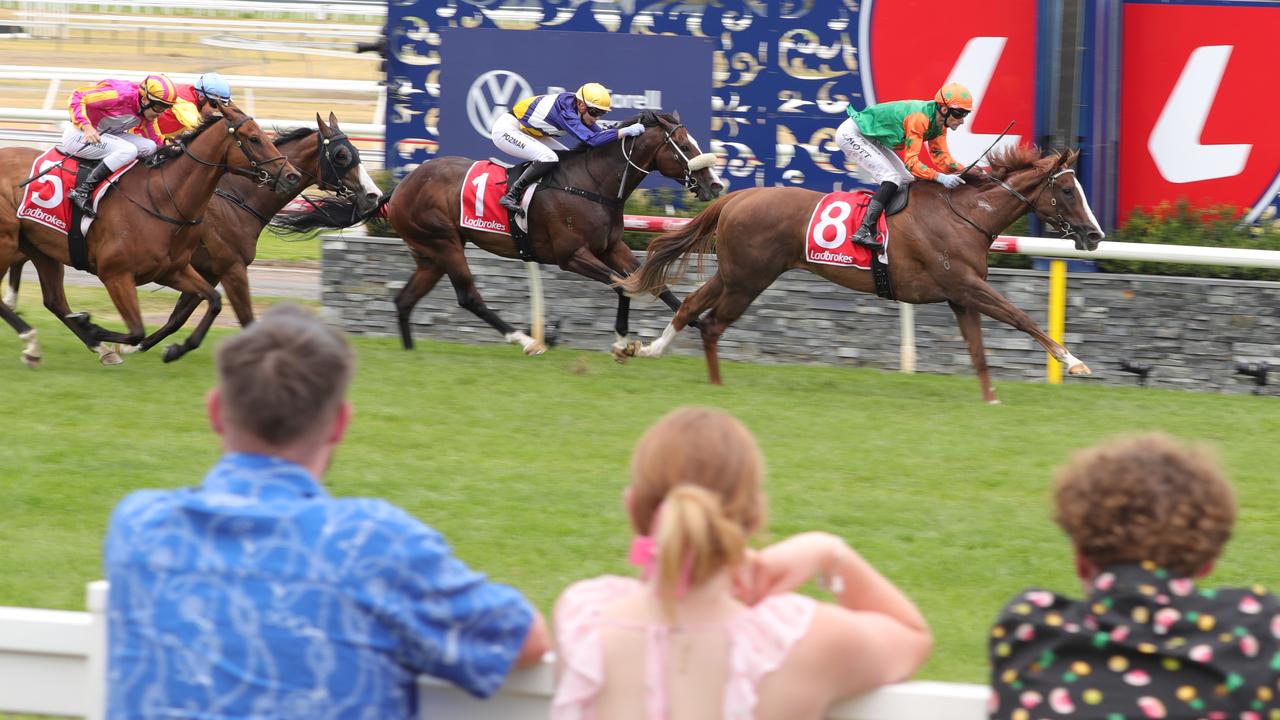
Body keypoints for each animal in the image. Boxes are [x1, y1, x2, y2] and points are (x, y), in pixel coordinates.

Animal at [0, 102, 299, 363]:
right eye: (254, 138)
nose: (291, 175)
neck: (162, 198)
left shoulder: (173, 270)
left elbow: (212, 301)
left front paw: (174, 349)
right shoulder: (116, 275)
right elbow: (136, 331)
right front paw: (96, 328)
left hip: (41, 249)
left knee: (54, 301)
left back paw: (88, 348)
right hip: (7, 242)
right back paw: (35, 341)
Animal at [272, 110, 721, 356]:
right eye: (683, 145)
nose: (714, 186)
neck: (592, 184)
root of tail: (397, 189)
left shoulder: (612, 246)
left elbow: (647, 283)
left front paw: (694, 325)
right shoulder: (571, 255)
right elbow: (623, 284)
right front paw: (622, 341)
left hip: (429, 253)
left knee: (404, 300)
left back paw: (411, 352)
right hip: (445, 243)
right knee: (469, 297)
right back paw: (528, 340)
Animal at [624, 144, 1105, 404]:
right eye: (1067, 190)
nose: (1095, 234)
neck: (966, 214)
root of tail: (737, 198)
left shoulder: (960, 295)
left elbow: (979, 352)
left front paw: (991, 399)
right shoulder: (967, 285)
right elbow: (1021, 318)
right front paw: (1074, 362)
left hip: (736, 274)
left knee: (690, 305)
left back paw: (651, 350)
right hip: (748, 280)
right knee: (712, 325)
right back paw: (716, 386)